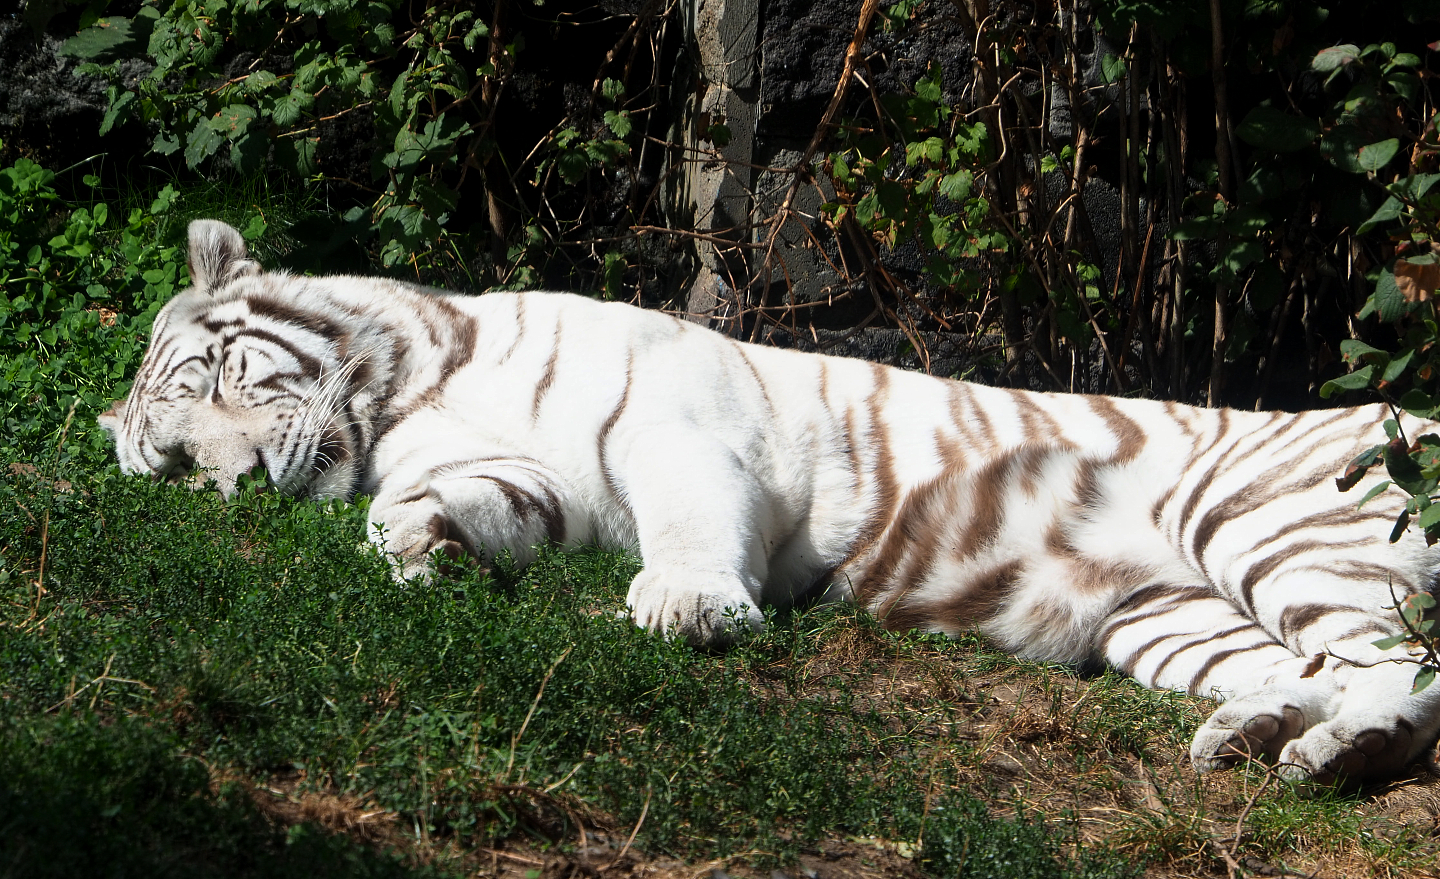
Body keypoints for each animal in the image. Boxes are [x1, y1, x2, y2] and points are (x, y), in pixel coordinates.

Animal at [101, 219, 1440, 785]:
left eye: (217, 377)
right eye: (170, 465)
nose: (238, 485)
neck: (406, 396)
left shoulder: (676, 420)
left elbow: (692, 518)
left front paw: (693, 608)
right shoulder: (532, 482)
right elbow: (459, 506)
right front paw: (419, 547)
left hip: (1287, 527)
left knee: (1402, 667)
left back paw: (1335, 752)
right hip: (1171, 618)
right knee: (1335, 672)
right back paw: (1263, 737)